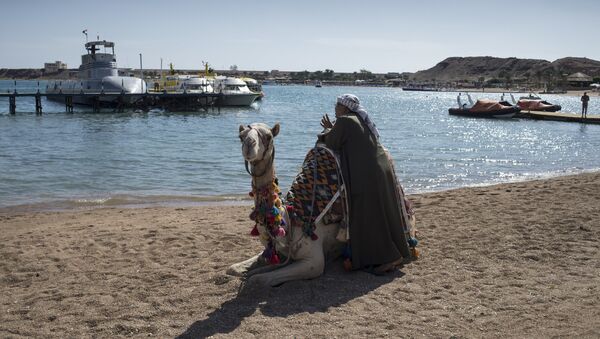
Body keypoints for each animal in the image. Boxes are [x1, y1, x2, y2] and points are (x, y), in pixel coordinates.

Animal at [227, 123, 344, 286]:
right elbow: (232, 268)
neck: (289, 219)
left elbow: (258, 279)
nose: (249, 144)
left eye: (269, 136)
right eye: (241, 136)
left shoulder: (313, 262)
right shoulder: (274, 250)